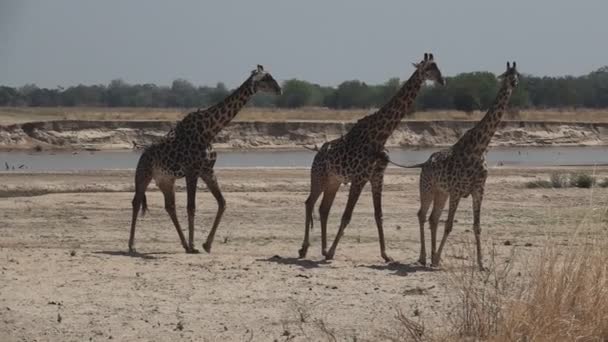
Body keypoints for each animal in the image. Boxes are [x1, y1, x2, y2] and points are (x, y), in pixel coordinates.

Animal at [129, 65, 282, 254]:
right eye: (265, 78)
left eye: (270, 76)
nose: (279, 89)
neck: (209, 131)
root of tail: (142, 155)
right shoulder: (192, 171)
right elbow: (191, 207)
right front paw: (195, 245)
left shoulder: (207, 170)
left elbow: (222, 202)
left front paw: (206, 245)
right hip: (143, 174)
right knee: (136, 202)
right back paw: (132, 245)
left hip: (166, 180)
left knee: (170, 206)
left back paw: (184, 245)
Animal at [300, 53, 446, 262]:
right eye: (428, 68)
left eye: (438, 66)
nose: (443, 80)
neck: (381, 135)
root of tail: (318, 153)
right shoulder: (360, 178)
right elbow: (347, 216)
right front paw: (333, 252)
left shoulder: (377, 176)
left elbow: (379, 215)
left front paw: (386, 255)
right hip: (318, 176)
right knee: (309, 203)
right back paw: (304, 249)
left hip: (334, 181)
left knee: (323, 209)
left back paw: (323, 249)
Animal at [408, 60, 516, 270]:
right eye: (507, 75)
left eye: (518, 75)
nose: (513, 84)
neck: (478, 149)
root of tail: (425, 163)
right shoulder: (457, 191)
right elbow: (449, 225)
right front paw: (437, 259)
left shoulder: (478, 190)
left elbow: (477, 226)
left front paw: (482, 264)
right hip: (427, 189)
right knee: (422, 215)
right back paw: (424, 257)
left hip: (441, 193)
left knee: (433, 218)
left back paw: (431, 256)